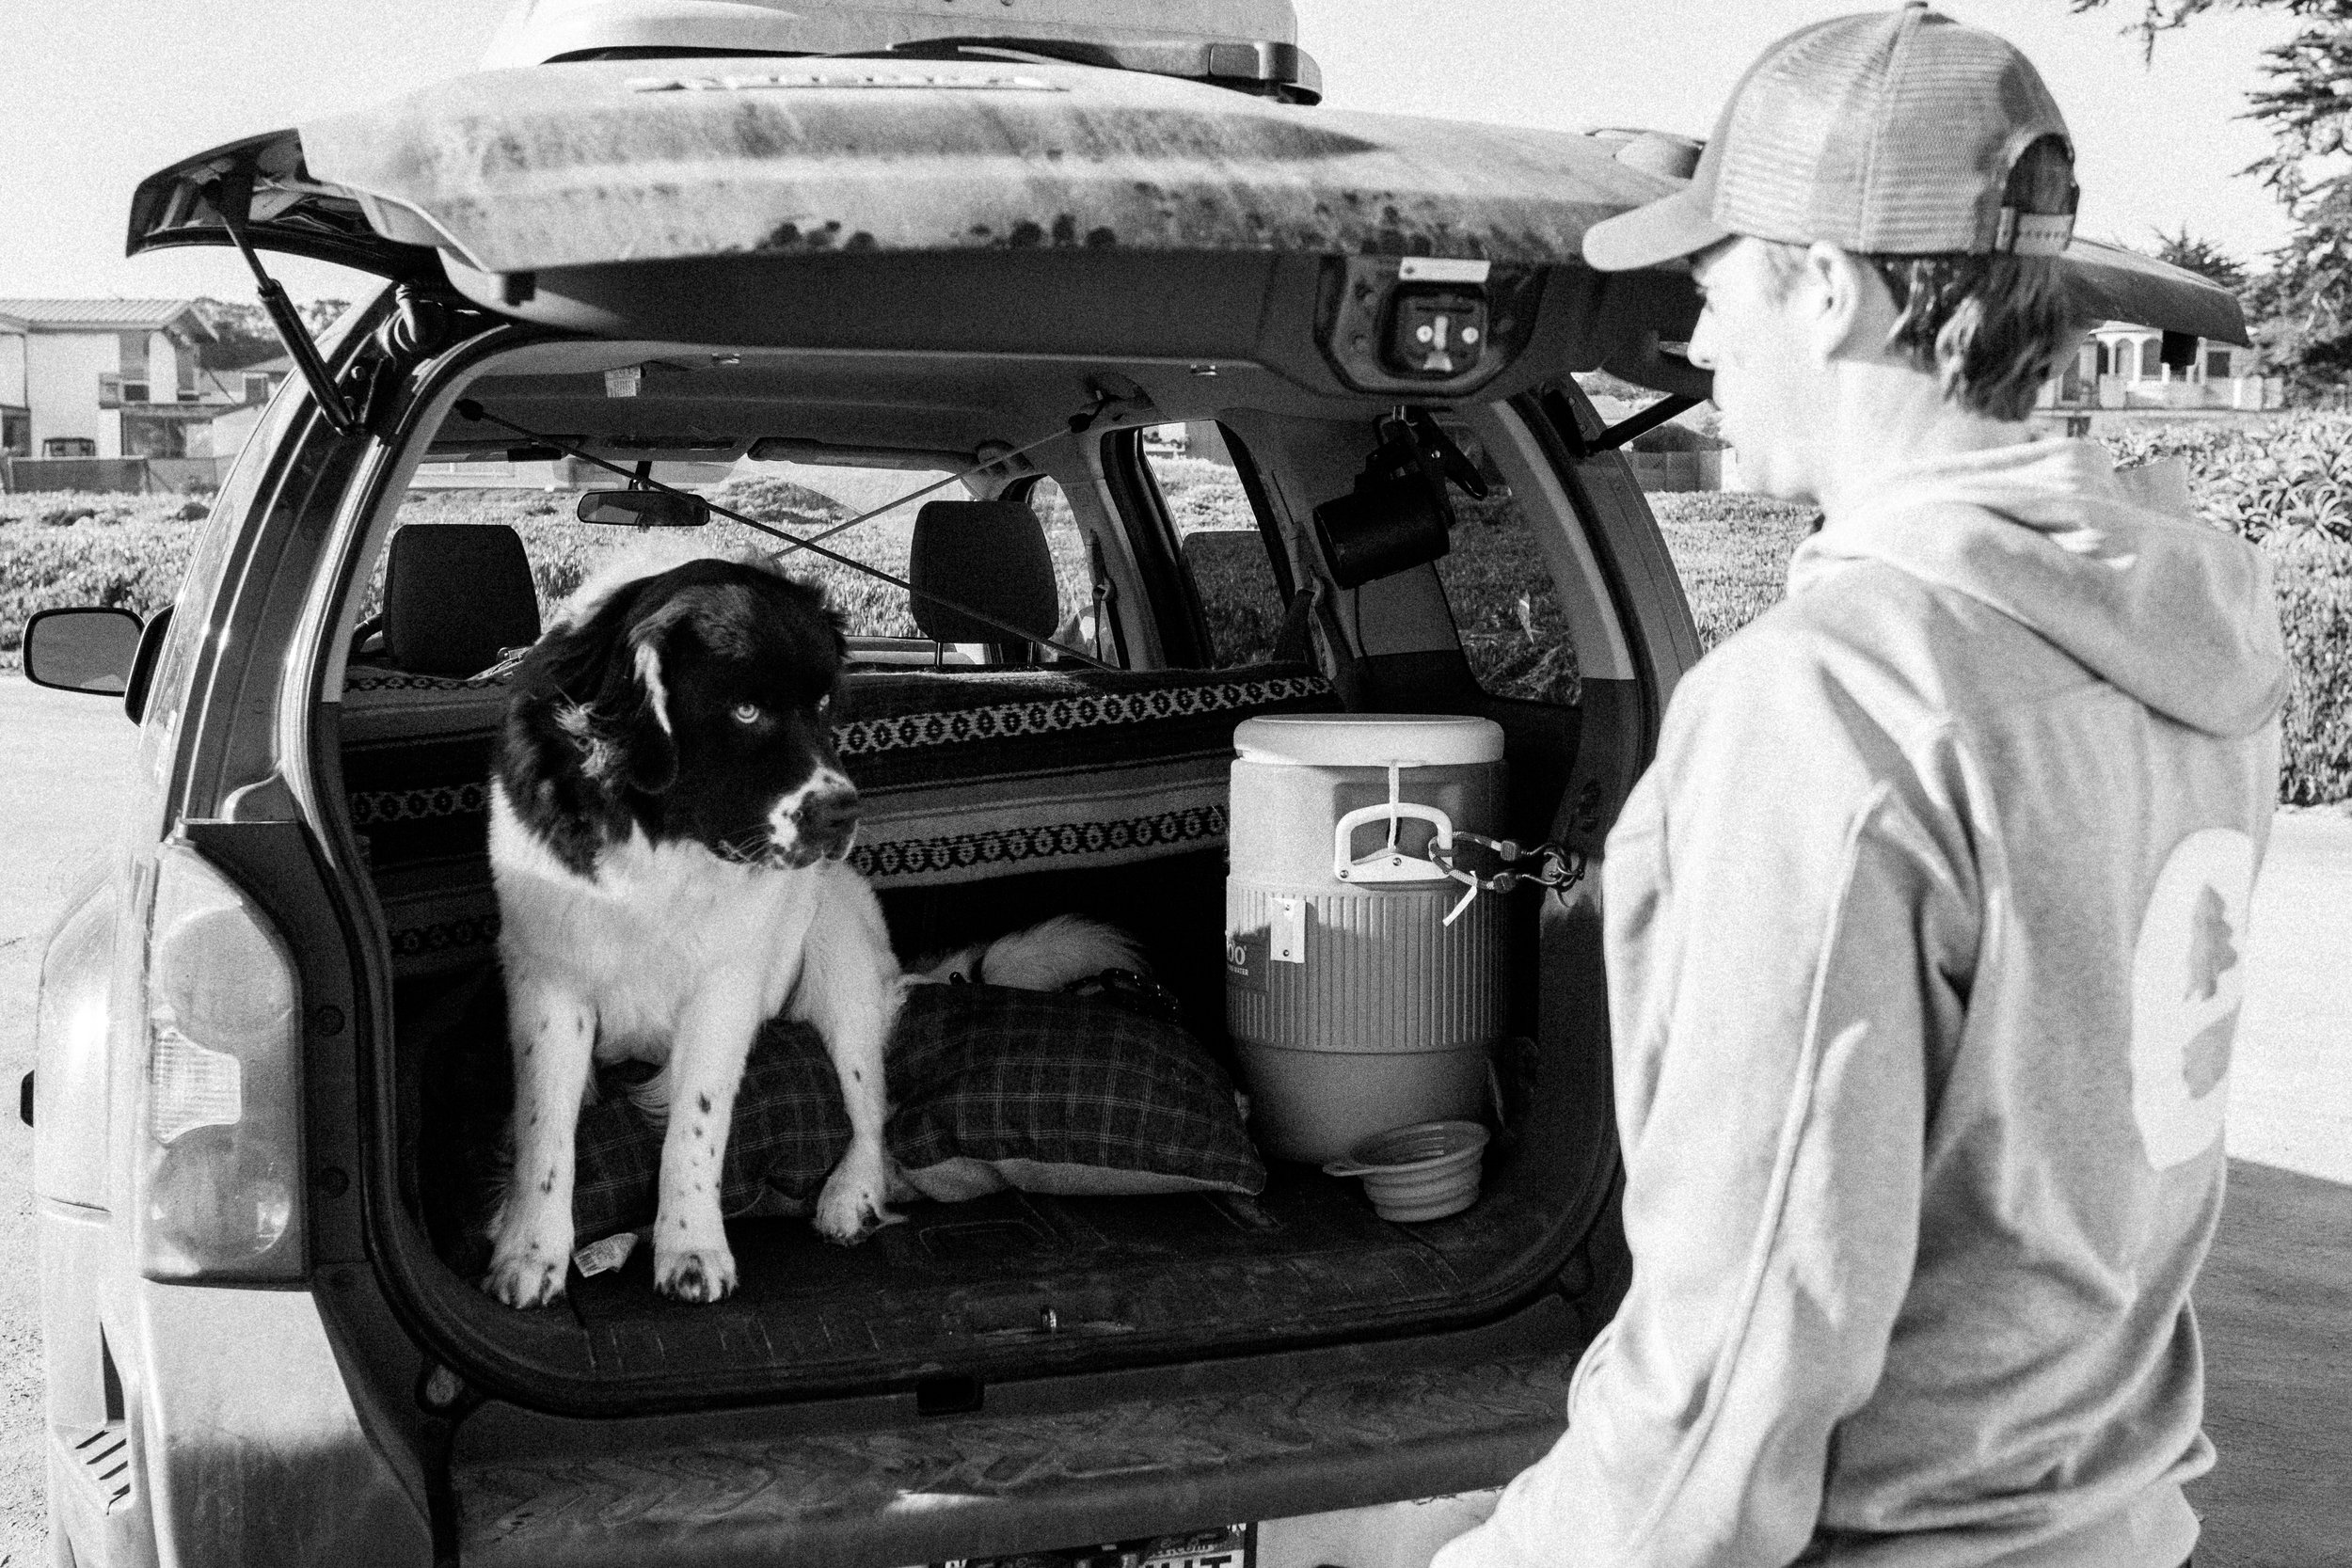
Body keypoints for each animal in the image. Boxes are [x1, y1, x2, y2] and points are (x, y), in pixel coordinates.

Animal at [482, 545, 1124, 1307]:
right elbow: (545, 1127)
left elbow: (696, 1125)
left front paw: (691, 1245)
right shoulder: (550, 979)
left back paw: (851, 1196)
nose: (844, 813)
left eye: (822, 705)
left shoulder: (725, 989)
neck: (664, 838)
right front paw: (529, 1246)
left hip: (839, 950)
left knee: (869, 1107)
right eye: (746, 710)